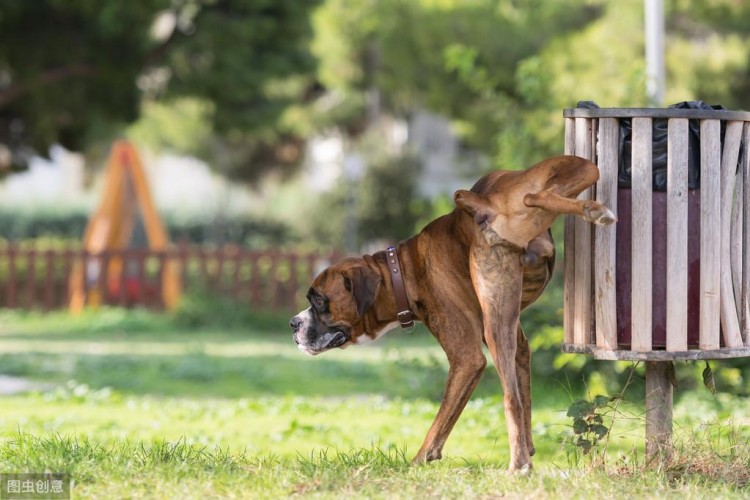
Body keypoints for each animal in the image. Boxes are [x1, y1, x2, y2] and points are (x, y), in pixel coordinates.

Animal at [290, 154, 612, 470]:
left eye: (318, 300)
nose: (293, 323)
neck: (402, 270)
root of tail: (485, 203)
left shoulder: (466, 359)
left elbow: (441, 420)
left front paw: (418, 461)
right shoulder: (518, 345)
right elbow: (525, 395)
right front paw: (529, 447)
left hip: (495, 325)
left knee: (510, 399)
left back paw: (517, 465)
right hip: (578, 170)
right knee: (539, 194)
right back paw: (592, 209)